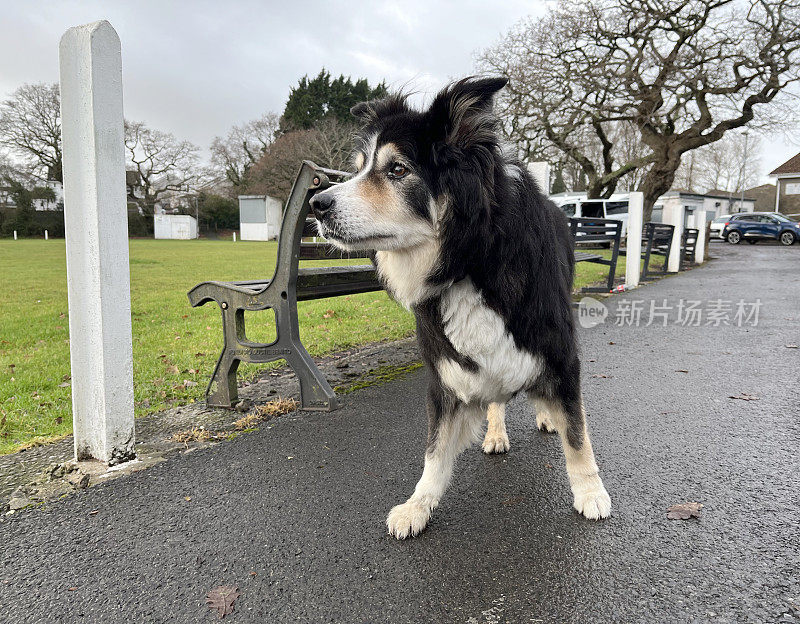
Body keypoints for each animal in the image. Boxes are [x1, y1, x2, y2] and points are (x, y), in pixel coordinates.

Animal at [310, 77, 608, 536]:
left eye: (398, 169)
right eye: (359, 168)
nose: (317, 204)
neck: (469, 259)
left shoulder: (558, 352)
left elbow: (576, 434)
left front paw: (591, 492)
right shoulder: (448, 371)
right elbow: (435, 451)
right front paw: (418, 505)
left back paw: (546, 416)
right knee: (497, 399)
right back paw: (496, 432)